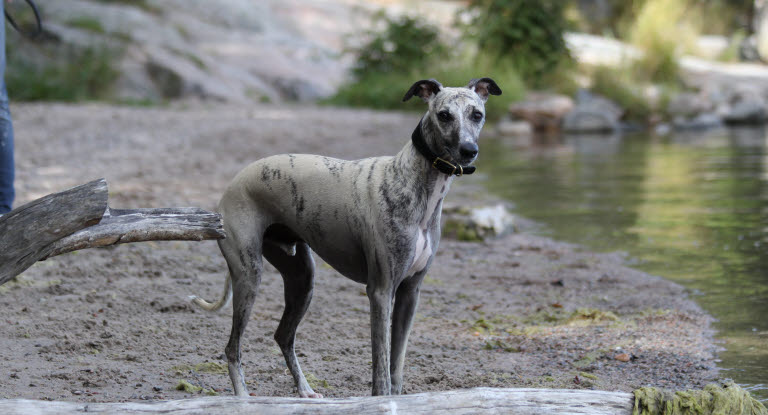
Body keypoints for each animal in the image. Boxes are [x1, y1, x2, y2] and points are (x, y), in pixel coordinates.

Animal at [191, 76, 500, 398]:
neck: (412, 181)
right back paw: (243, 397)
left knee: (283, 336)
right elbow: (381, 370)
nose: (469, 150)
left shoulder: (409, 293)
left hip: (302, 278)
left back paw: (305, 390)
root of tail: (234, 183)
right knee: (233, 348)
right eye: (444, 115)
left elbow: (396, 366)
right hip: (249, 275)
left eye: (477, 114)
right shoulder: (380, 291)